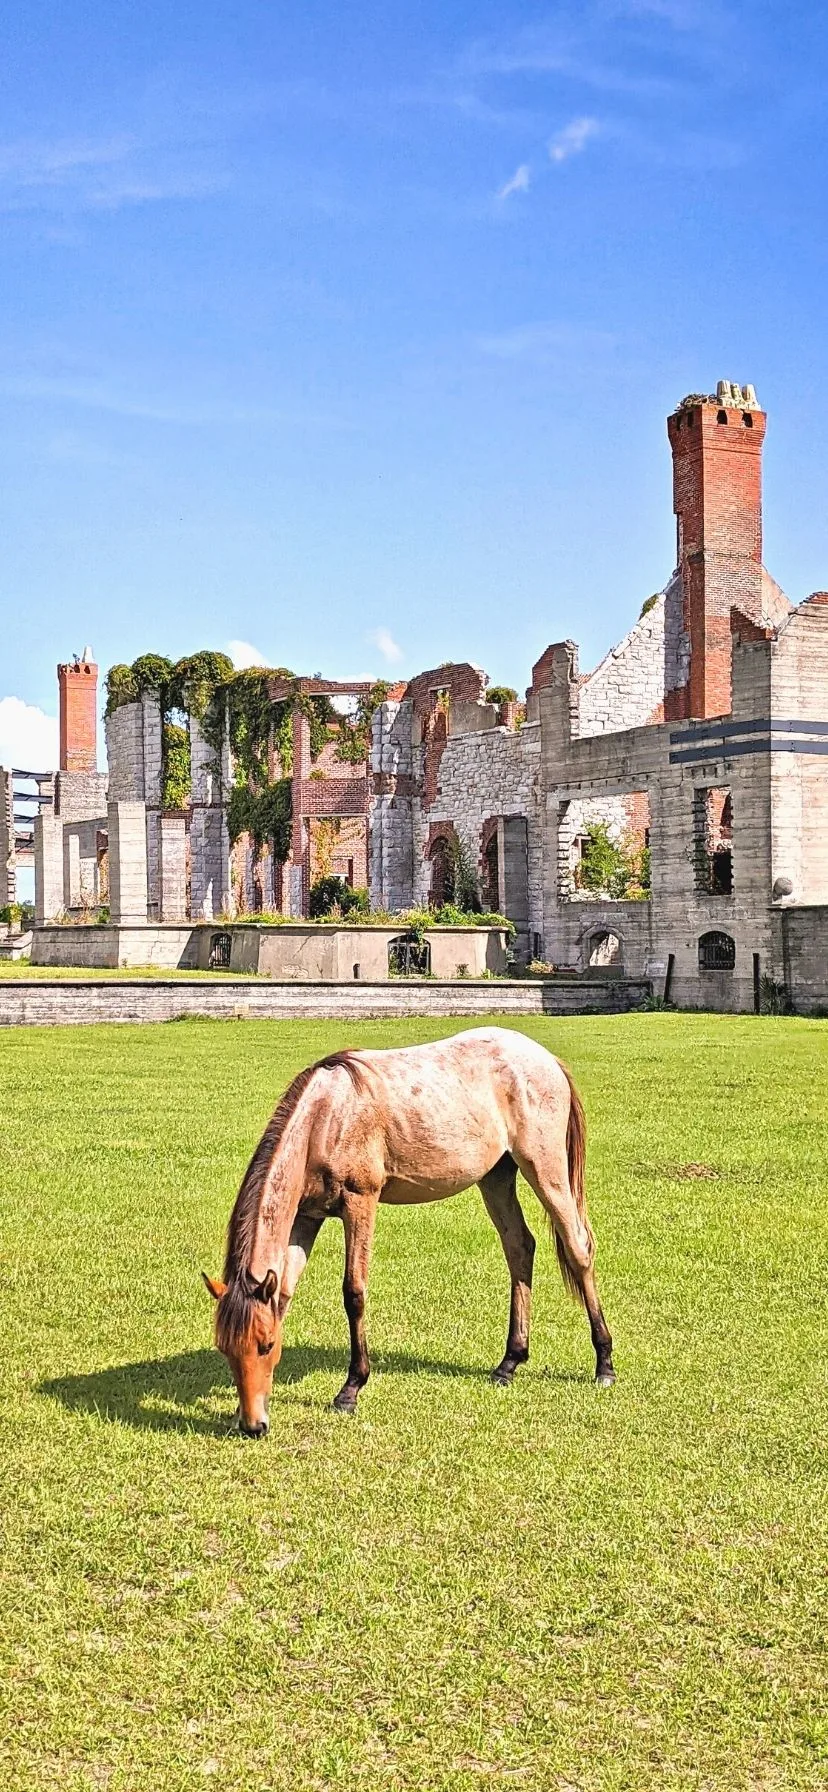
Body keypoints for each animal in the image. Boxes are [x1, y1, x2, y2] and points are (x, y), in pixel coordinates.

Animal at [201, 1032, 612, 1433]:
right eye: (225, 1348)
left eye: (266, 1345)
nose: (253, 1425)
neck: (326, 1117)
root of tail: (545, 1058)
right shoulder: (306, 1217)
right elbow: (284, 1295)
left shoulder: (360, 1202)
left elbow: (354, 1293)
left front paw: (351, 1389)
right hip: (496, 1177)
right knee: (520, 1247)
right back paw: (509, 1362)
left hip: (544, 1168)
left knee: (578, 1248)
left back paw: (604, 1363)